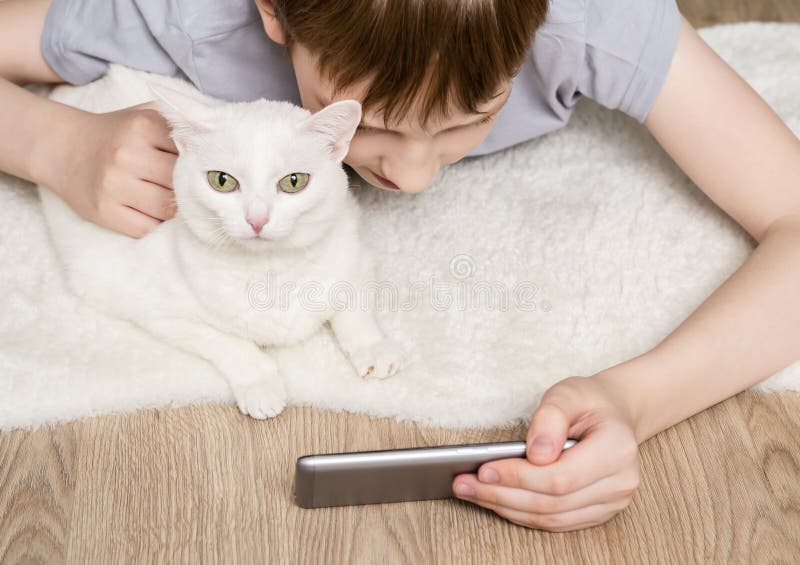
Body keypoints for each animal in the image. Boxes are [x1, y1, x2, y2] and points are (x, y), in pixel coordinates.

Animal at [36, 66, 404, 418]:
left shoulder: (354, 247)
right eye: (222, 181)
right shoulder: (157, 309)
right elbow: (225, 340)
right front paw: (260, 382)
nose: (257, 219)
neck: (270, 271)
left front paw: (371, 347)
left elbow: (353, 303)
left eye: (294, 182)